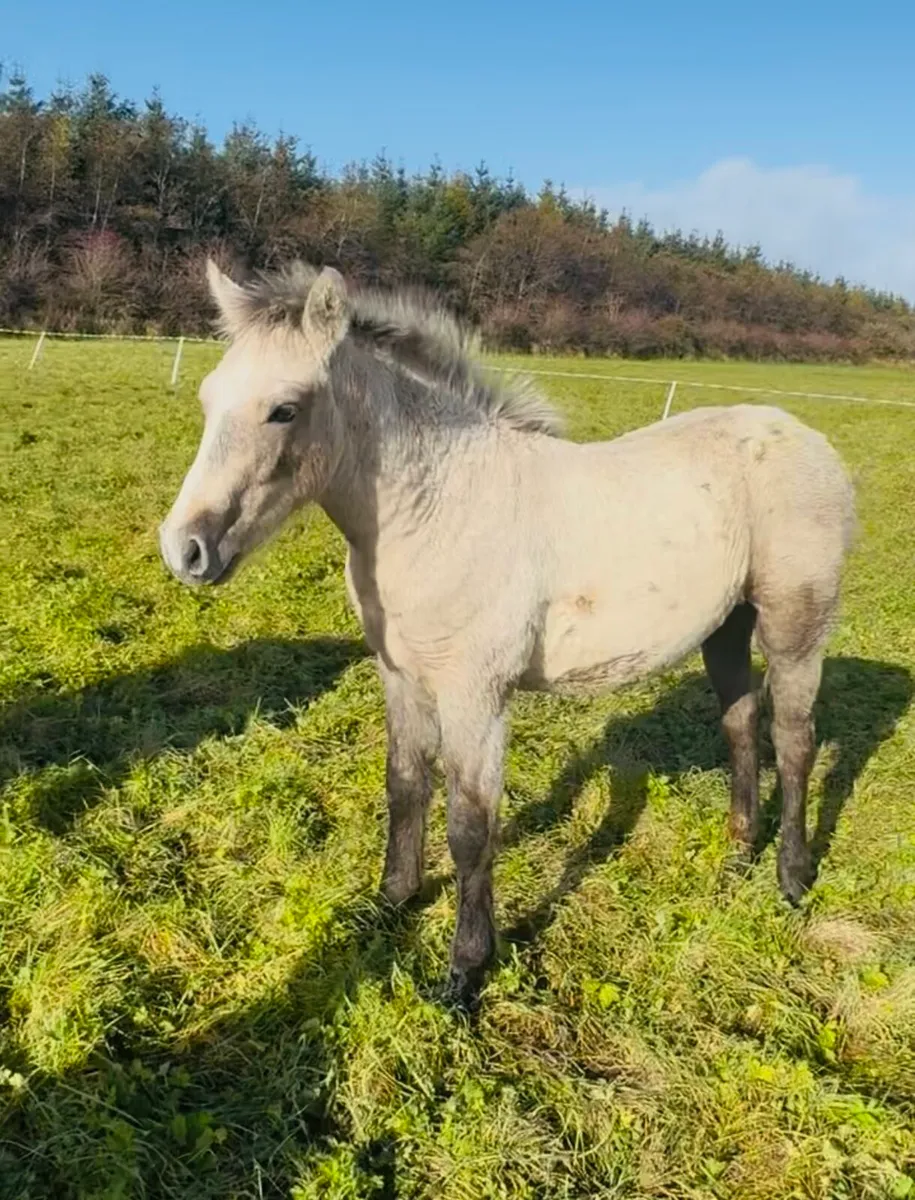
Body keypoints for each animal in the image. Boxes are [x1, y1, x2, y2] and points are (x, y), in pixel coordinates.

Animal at [159, 260, 856, 1008]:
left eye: (284, 409)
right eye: (207, 398)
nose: (185, 550)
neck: (436, 506)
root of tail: (806, 436)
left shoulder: (477, 694)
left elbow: (472, 826)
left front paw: (465, 972)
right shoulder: (400, 677)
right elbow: (404, 786)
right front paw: (389, 904)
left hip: (795, 625)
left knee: (794, 741)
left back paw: (790, 877)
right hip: (725, 626)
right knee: (740, 723)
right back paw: (736, 855)